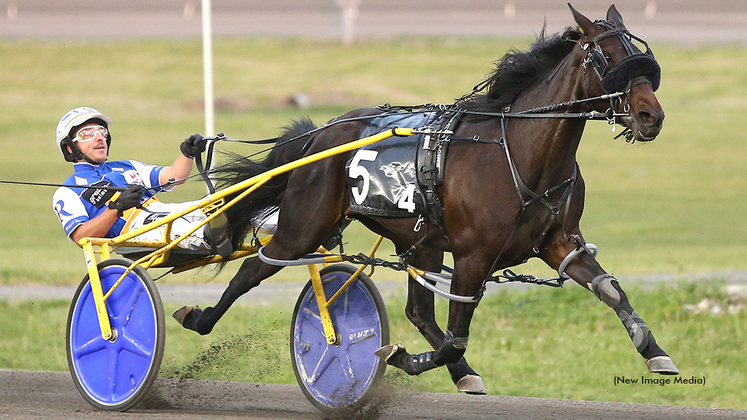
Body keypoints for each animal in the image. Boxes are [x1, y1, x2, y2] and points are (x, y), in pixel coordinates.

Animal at [174, 3, 676, 394]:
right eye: (607, 57)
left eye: (642, 57)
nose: (651, 116)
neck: (519, 152)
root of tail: (323, 133)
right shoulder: (474, 256)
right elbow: (455, 337)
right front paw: (404, 359)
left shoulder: (559, 241)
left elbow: (609, 288)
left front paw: (654, 351)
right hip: (305, 225)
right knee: (253, 270)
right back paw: (198, 318)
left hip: (421, 241)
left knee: (417, 310)